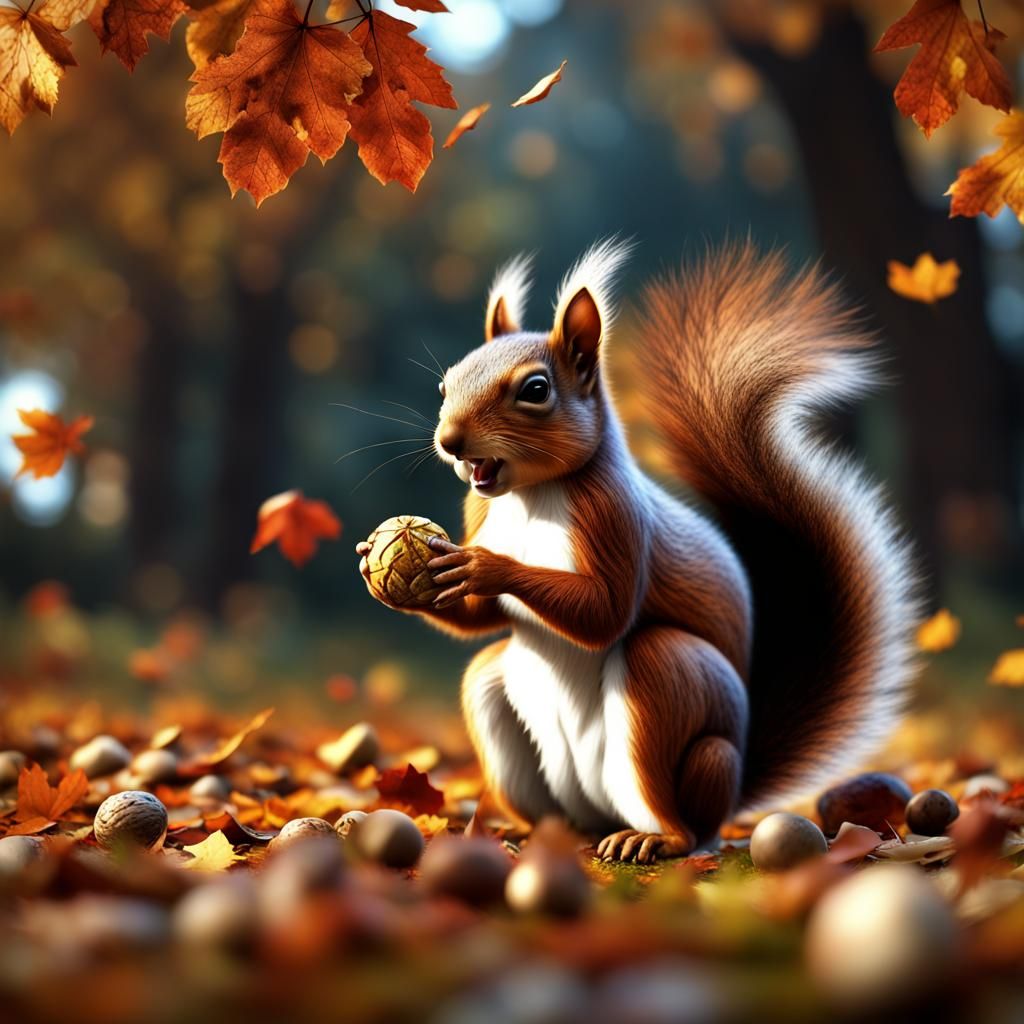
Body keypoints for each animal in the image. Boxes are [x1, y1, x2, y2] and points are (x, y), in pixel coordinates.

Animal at [356, 239, 919, 863]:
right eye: (444, 385)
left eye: (535, 390)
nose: (451, 442)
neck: (531, 496)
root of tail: (731, 790)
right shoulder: (479, 515)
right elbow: (479, 620)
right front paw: (377, 562)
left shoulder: (614, 519)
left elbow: (604, 610)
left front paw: (488, 567)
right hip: (494, 698)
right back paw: (530, 833)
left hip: (671, 691)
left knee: (679, 807)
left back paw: (652, 837)